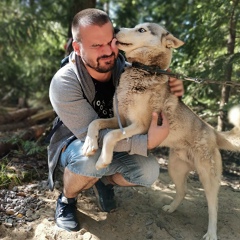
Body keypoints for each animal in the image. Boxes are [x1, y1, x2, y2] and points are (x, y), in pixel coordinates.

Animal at [81, 23, 239, 240]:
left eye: (141, 30)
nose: (116, 28)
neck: (143, 70)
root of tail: (212, 130)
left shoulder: (139, 125)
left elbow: (111, 136)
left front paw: (103, 160)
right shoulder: (118, 119)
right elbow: (95, 122)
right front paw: (89, 144)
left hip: (208, 176)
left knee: (213, 205)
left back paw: (211, 233)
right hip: (175, 169)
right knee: (182, 191)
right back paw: (171, 208)